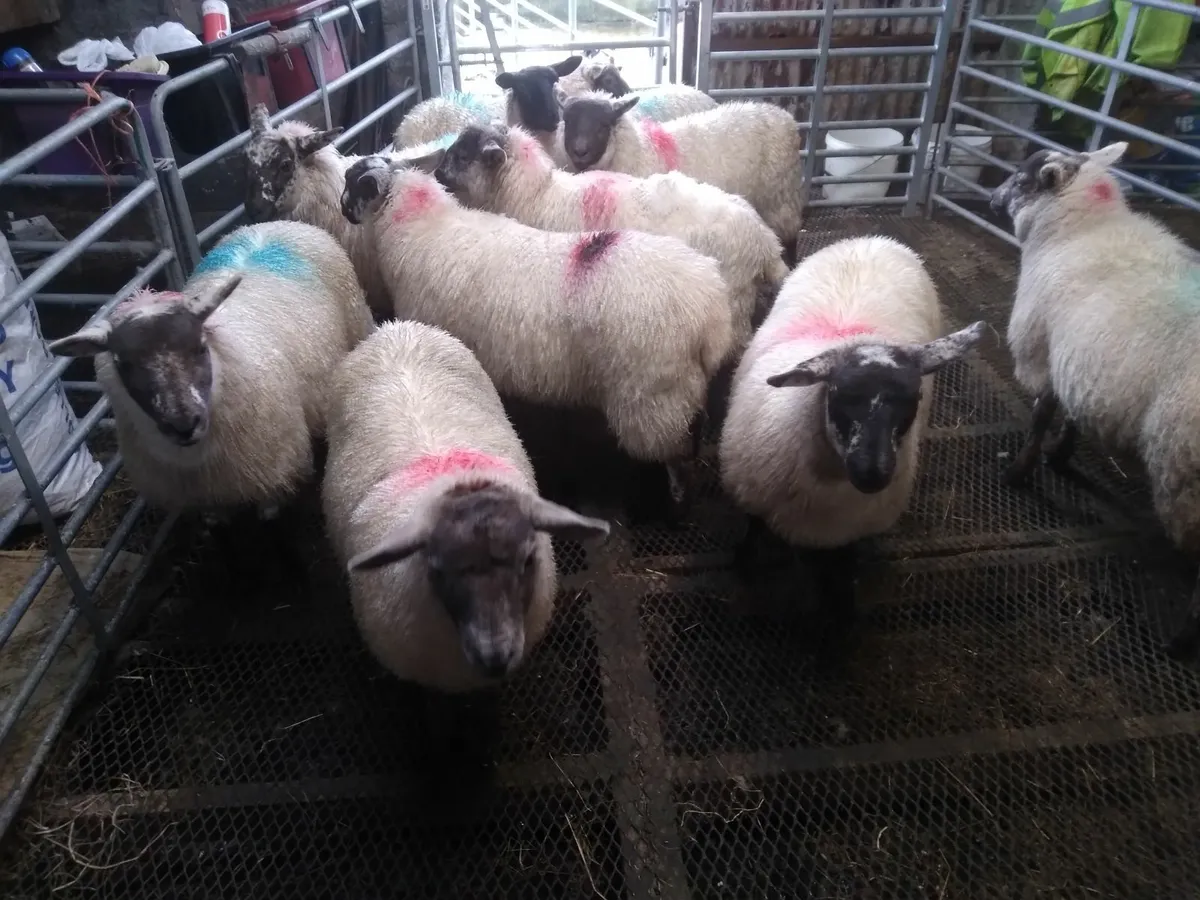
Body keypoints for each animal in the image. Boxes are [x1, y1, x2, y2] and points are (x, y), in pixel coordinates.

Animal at [47, 221, 373, 516]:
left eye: (200, 347)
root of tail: (270, 224)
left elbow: (269, 512)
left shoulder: (275, 472)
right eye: (122, 363)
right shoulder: (204, 497)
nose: (183, 424)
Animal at [341, 152, 734, 516]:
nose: (343, 210)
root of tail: (710, 310)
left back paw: (677, 500)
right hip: (682, 388)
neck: (420, 224)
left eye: (356, 184)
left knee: (675, 452)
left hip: (653, 397)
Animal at [559, 92, 804, 253]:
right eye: (567, 121)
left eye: (603, 125)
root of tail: (784, 116)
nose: (579, 151)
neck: (640, 150)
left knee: (790, 234)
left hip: (780, 196)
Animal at [719, 236, 985, 659]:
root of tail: (870, 240)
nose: (872, 473)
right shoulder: (754, 498)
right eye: (840, 395)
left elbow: (840, 583)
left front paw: (839, 627)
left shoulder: (844, 535)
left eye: (913, 399)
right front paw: (744, 570)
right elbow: (751, 538)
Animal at [989, 140, 1200, 660]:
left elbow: (1043, 415)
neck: (1081, 227)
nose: (990, 198)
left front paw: (1021, 471)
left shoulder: (1045, 346)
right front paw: (1061, 455)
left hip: (1181, 467)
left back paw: (1180, 640)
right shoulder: (1085, 357)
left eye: (1020, 179)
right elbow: (1075, 414)